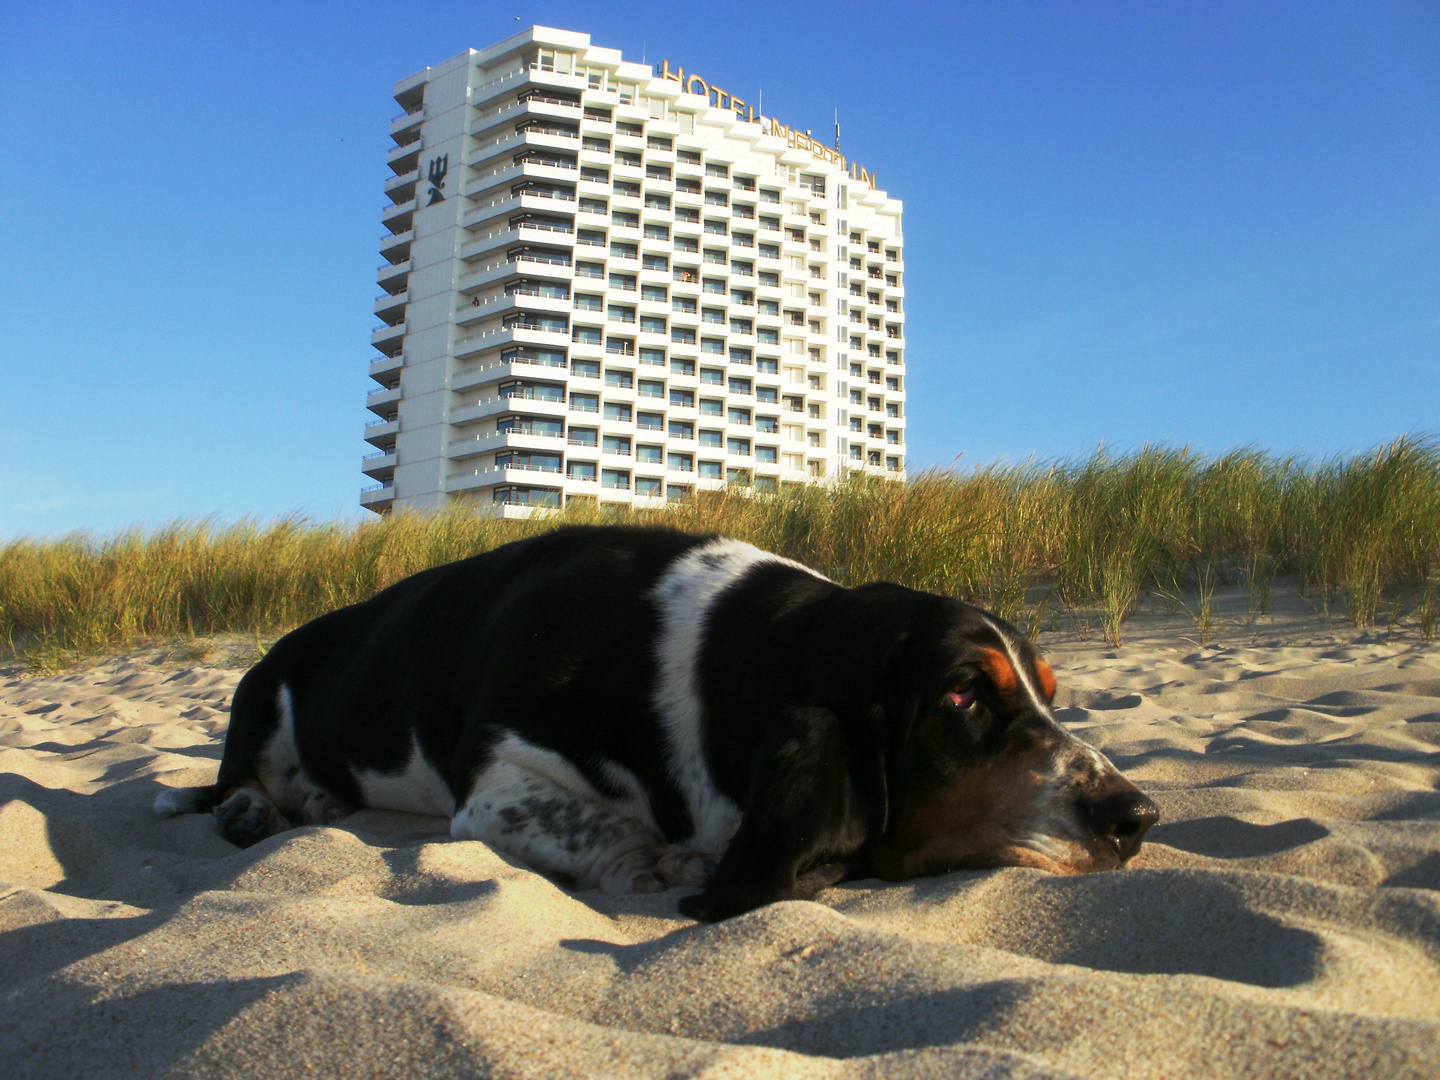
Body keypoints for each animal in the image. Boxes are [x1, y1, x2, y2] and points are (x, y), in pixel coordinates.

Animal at [154, 524, 1157, 921]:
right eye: (962, 697)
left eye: (1049, 691)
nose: (1136, 817)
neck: (723, 659)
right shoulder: (497, 785)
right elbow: (608, 826)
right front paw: (666, 864)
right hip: (261, 686)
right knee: (237, 775)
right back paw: (252, 810)